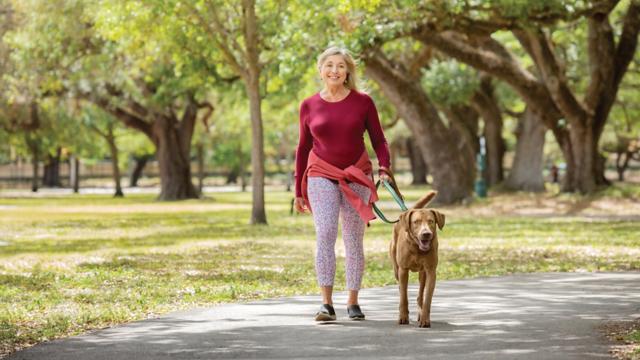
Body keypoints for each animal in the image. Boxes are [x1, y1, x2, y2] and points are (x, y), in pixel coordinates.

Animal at [390, 193, 444, 328]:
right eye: (416, 222)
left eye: (431, 221)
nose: (426, 234)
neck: (417, 248)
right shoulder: (403, 270)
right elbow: (404, 296)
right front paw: (403, 316)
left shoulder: (431, 271)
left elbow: (427, 298)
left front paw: (425, 319)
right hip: (396, 269)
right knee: (401, 289)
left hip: (422, 273)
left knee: (420, 294)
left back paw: (420, 312)